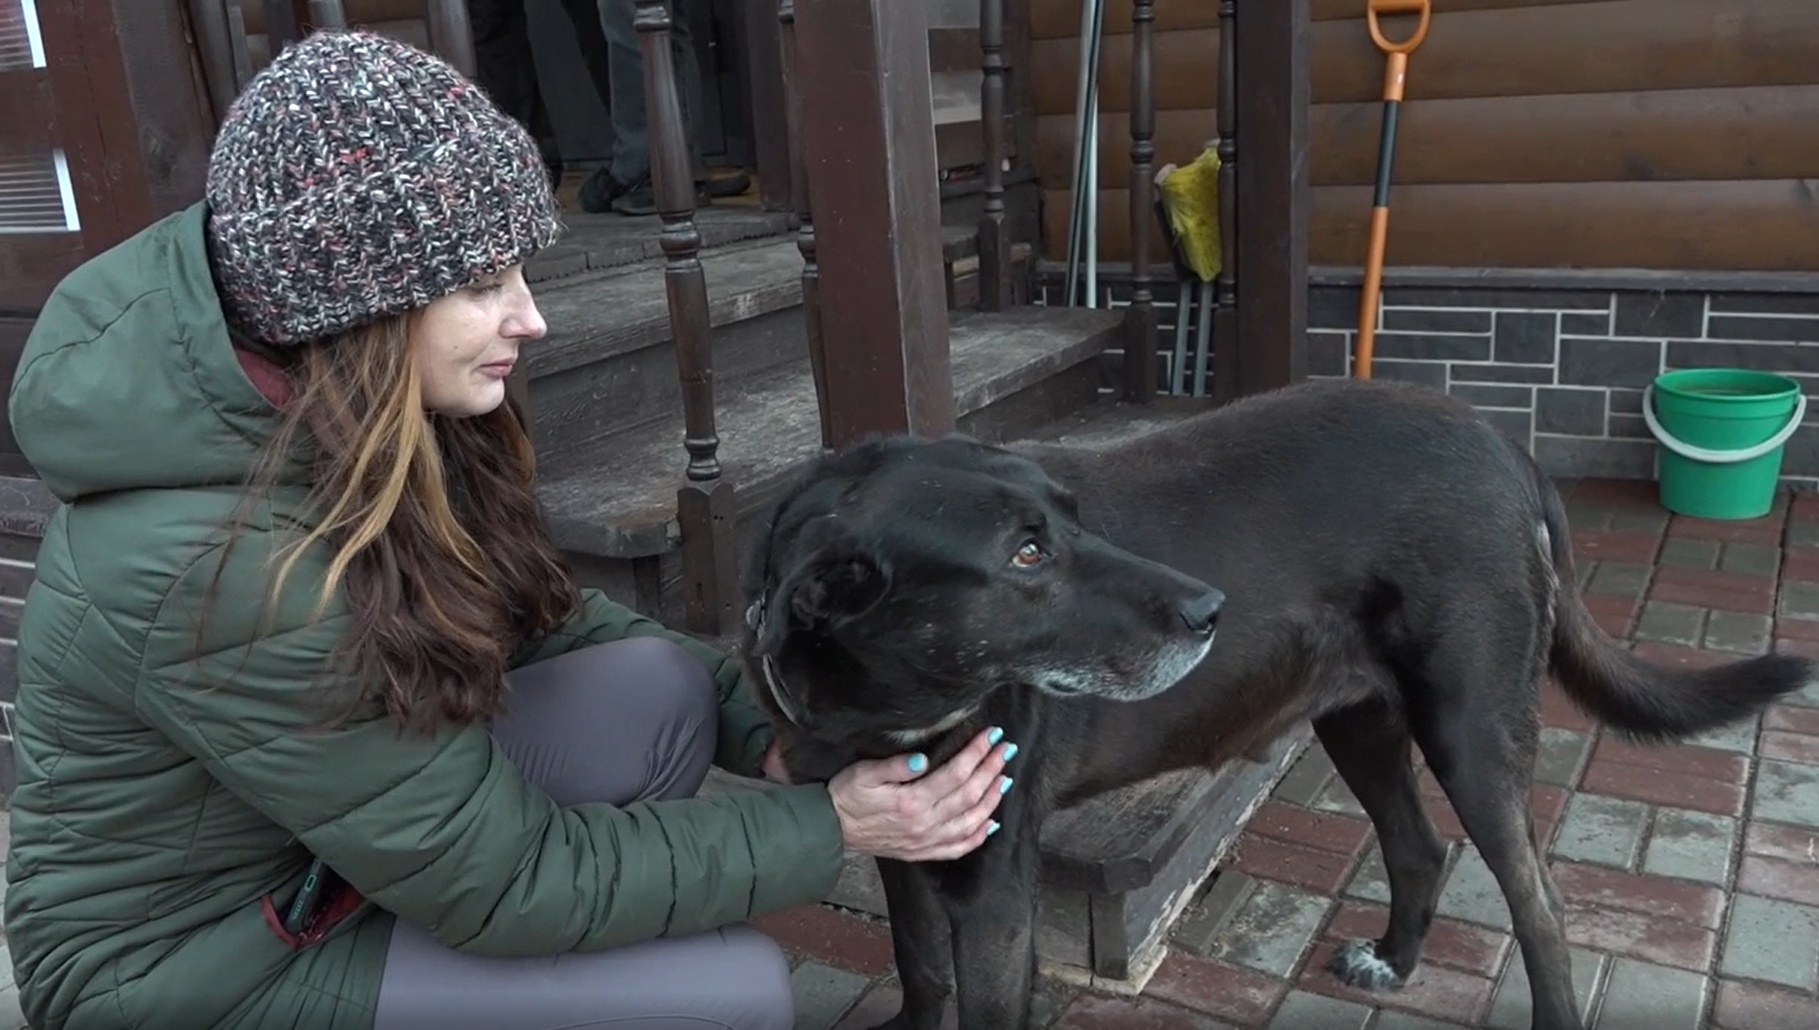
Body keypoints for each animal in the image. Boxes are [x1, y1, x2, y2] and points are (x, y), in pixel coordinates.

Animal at [734, 380, 1804, 1030]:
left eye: (1072, 521)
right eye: (1027, 553)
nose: (1209, 609)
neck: (880, 702)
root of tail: (1502, 444)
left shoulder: (995, 888)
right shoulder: (904, 846)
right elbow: (919, 975)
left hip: (1469, 729)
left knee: (1539, 903)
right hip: (1357, 718)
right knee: (1420, 848)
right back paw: (1392, 963)